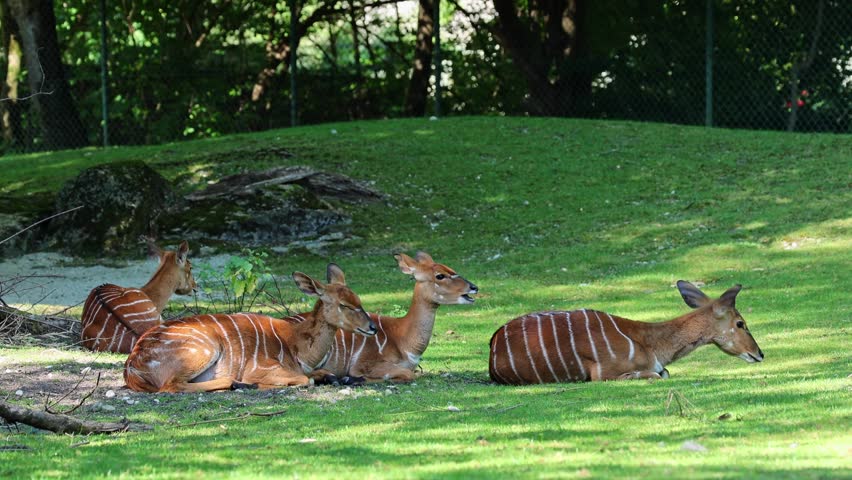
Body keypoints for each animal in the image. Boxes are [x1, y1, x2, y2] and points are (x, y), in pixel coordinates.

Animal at [124, 264, 378, 392]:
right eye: (344, 305)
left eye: (359, 301)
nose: (372, 326)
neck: (296, 346)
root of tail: (132, 365)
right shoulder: (261, 368)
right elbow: (304, 380)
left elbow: (323, 374)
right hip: (204, 350)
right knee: (171, 386)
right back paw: (239, 384)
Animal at [312, 252, 478, 384]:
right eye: (440, 275)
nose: (474, 287)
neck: (403, 339)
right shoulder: (362, 365)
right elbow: (407, 374)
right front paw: (350, 379)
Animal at [489, 281, 764, 385]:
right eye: (741, 323)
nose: (759, 354)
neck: (648, 343)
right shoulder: (603, 374)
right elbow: (657, 375)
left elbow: (664, 373)